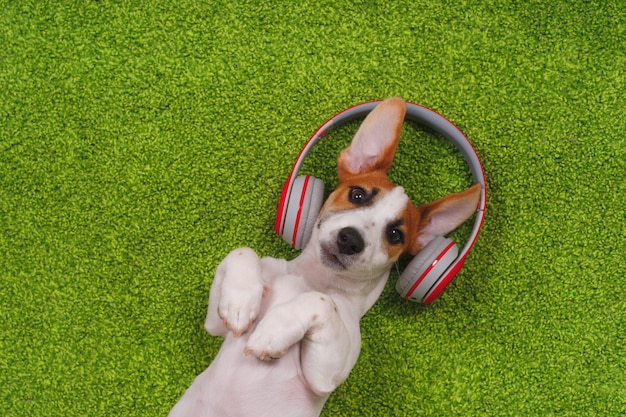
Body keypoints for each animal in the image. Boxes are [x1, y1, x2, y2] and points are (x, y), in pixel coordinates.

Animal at [168, 98, 480, 416]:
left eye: (395, 235)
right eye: (357, 195)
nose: (350, 239)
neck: (312, 279)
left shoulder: (324, 375)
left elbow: (319, 301)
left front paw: (274, 331)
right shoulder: (214, 325)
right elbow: (242, 252)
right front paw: (241, 301)